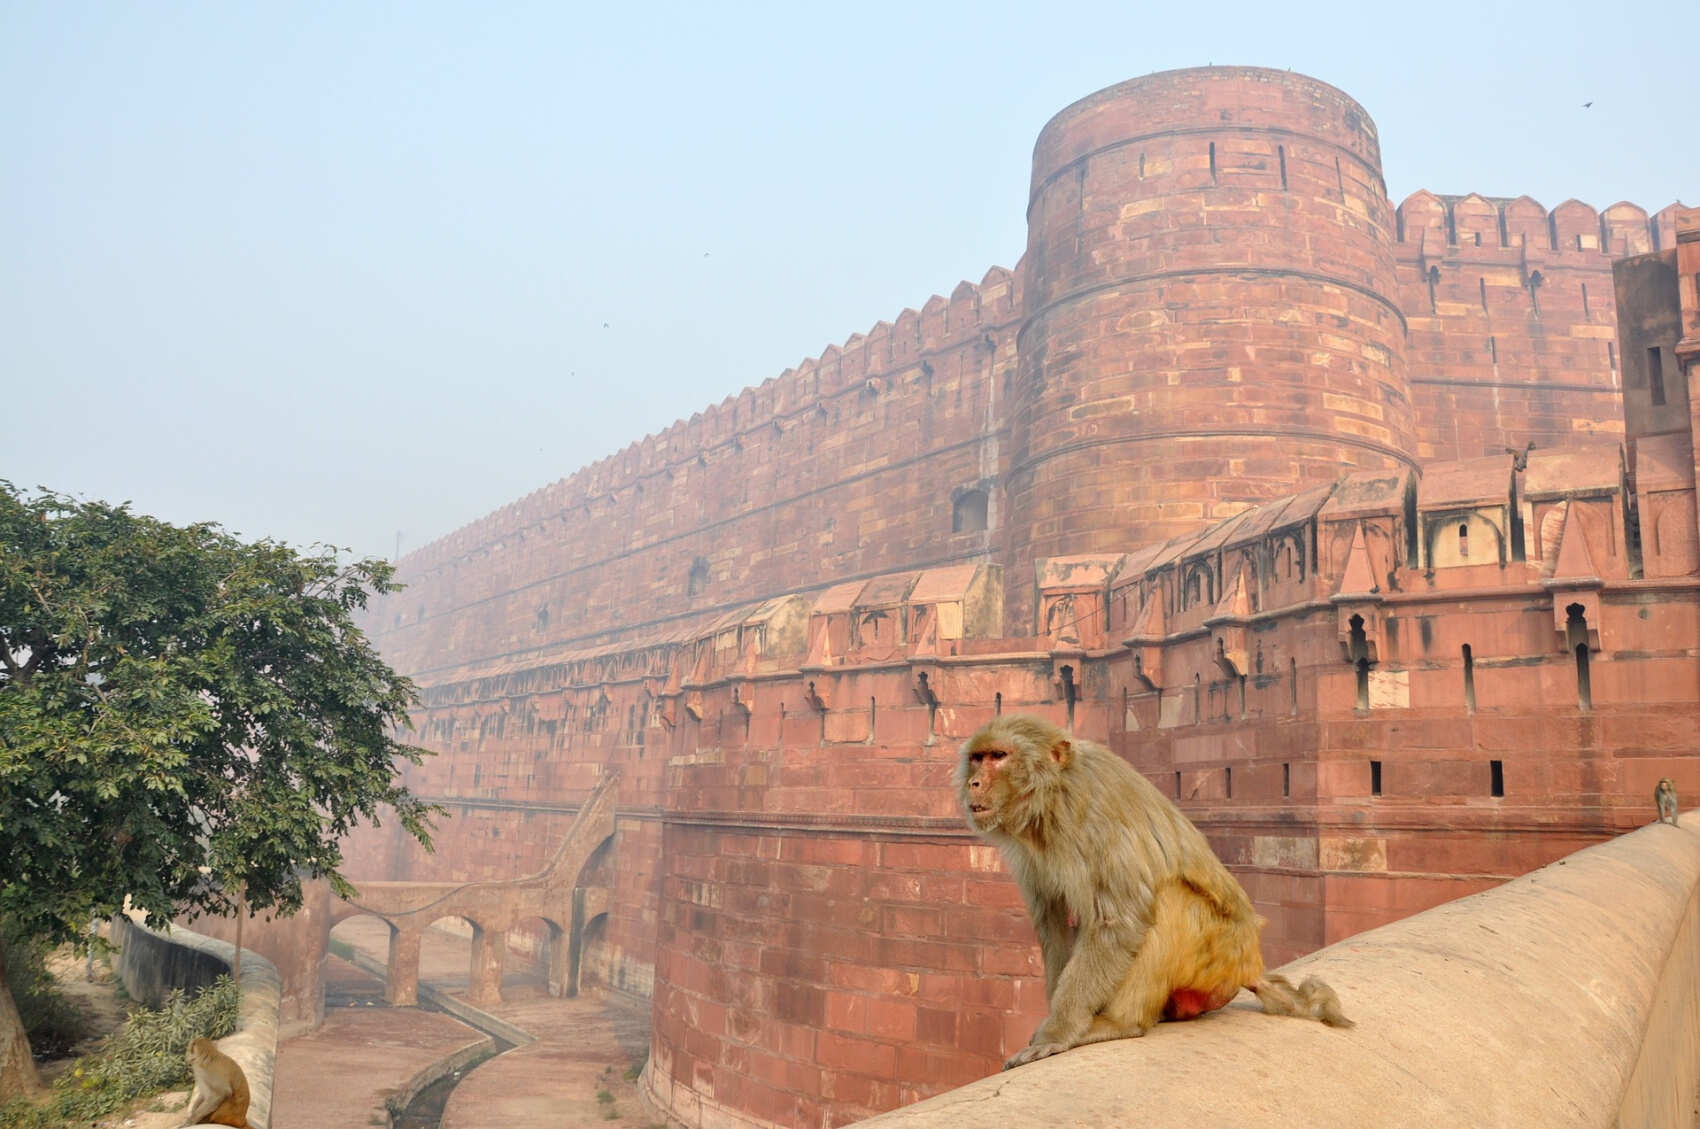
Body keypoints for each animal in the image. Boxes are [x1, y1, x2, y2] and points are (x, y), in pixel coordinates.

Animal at [958, 714, 1352, 1070]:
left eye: (999, 756)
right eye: (978, 757)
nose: (974, 783)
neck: (1052, 796)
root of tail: (1251, 966)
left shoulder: (1092, 817)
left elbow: (1119, 920)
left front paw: (1060, 1031)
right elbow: (1053, 922)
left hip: (1220, 956)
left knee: (1170, 900)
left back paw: (1120, 1023)